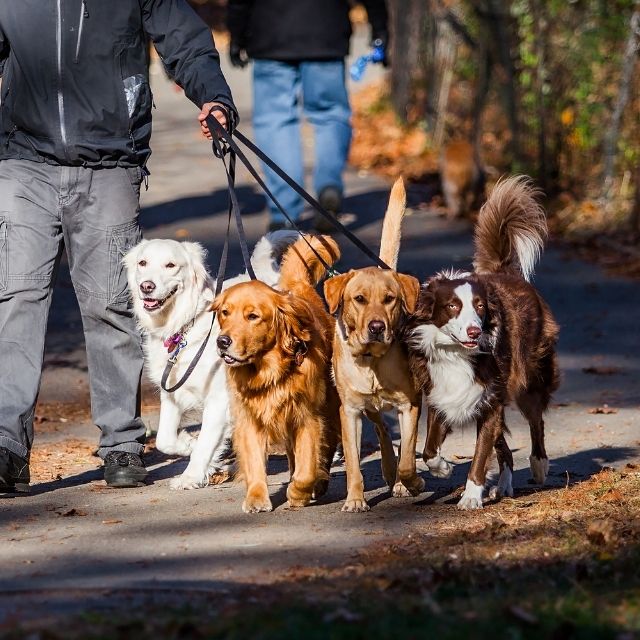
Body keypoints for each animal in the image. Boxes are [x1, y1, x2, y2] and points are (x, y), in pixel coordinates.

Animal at [124, 232, 298, 488]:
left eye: (170, 265)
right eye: (142, 263)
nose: (146, 286)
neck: (185, 325)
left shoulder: (219, 399)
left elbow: (206, 442)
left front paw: (190, 476)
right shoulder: (172, 393)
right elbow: (165, 439)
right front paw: (189, 443)